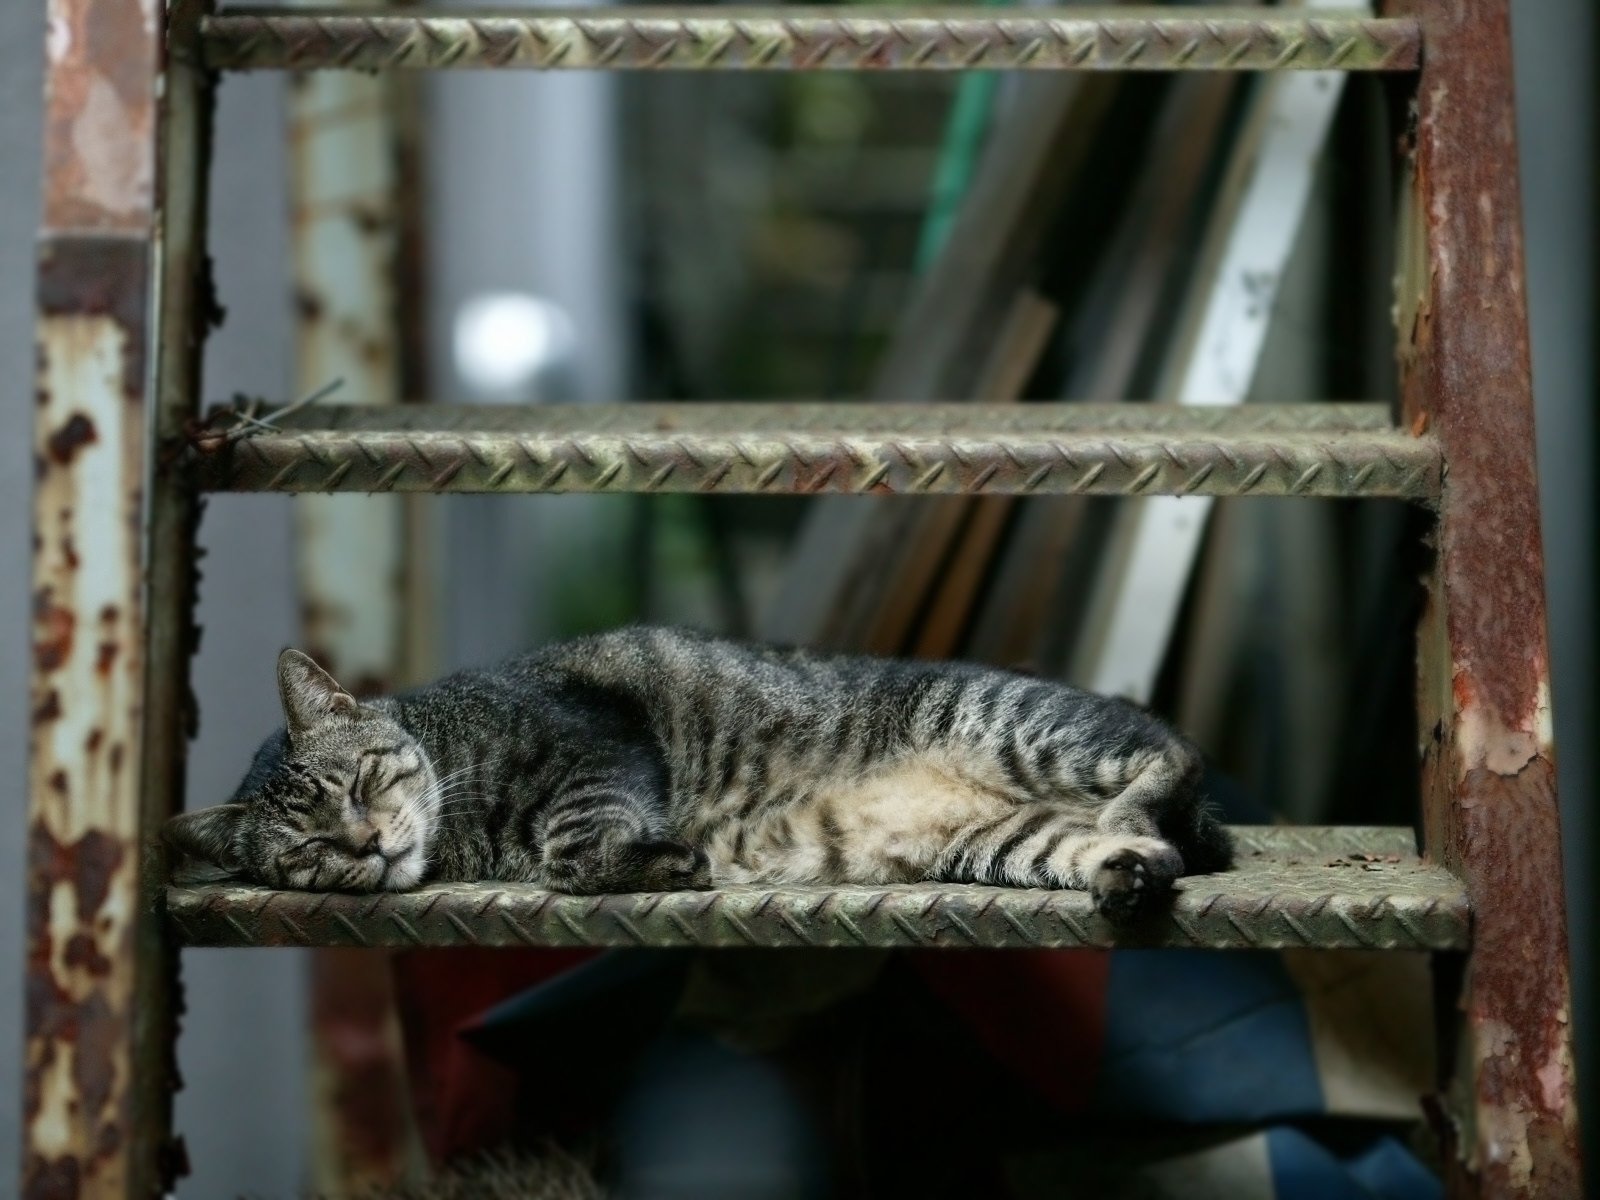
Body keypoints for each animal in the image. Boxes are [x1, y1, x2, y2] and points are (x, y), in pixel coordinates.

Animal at [165, 624, 1235, 915]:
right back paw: (1127, 868)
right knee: (1135, 848)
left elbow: (574, 840)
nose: (366, 845)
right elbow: (572, 852)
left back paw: (1140, 812)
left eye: (358, 786)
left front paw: (661, 860)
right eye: (307, 850)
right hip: (1002, 840)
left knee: (1174, 757)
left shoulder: (593, 743)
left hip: (1021, 725)